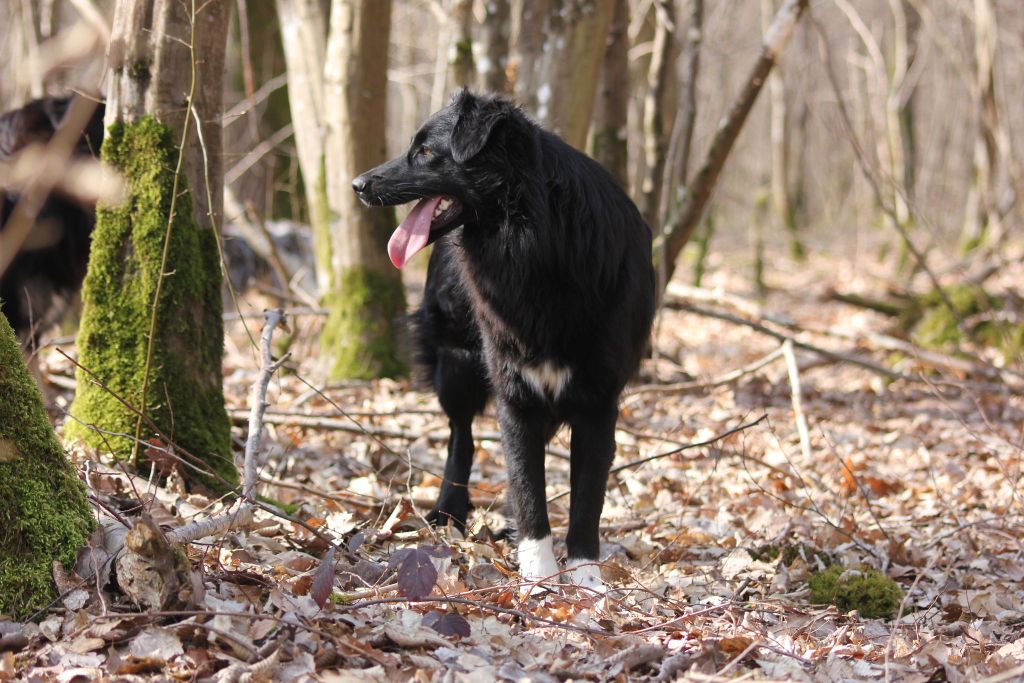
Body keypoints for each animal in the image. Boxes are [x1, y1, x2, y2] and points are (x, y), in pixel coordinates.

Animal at [352, 90, 655, 589]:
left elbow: (587, 498)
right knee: (462, 438)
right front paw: (538, 576)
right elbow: (528, 487)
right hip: (456, 364)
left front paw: (587, 580)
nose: (358, 184)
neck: (540, 242)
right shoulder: (516, 394)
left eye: (427, 152)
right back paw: (448, 512)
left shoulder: (598, 403)